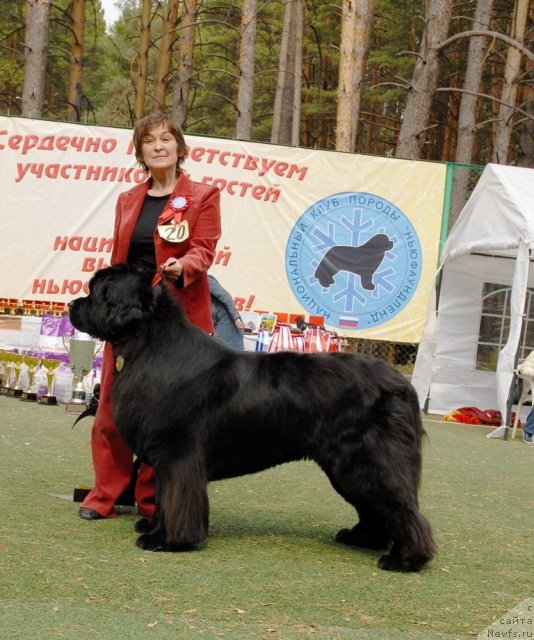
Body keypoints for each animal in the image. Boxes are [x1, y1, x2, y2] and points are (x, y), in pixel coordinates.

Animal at [68, 262, 436, 572]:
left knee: (402, 508)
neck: (149, 343)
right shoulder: (165, 459)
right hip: (348, 467)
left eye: (97, 292)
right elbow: (162, 497)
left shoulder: (177, 455)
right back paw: (362, 539)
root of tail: (402, 384)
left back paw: (405, 559)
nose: (71, 305)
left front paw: (166, 540)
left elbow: (176, 497)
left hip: (367, 460)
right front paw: (154, 526)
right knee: (375, 507)